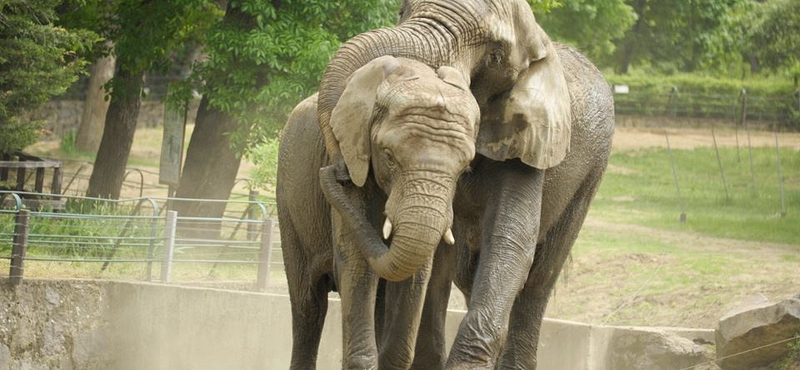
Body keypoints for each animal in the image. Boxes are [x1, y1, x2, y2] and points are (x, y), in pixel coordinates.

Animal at [276, 0, 612, 368]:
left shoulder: (527, 140)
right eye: (403, 11)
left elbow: (510, 241)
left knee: (537, 280)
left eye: (494, 56)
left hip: (590, 177)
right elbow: (356, 251)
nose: (336, 170)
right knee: (310, 306)